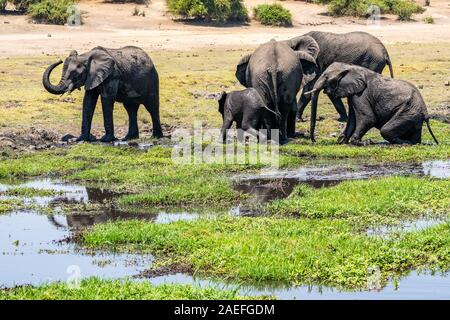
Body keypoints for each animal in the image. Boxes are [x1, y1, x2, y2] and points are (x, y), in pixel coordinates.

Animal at [308, 62, 438, 145]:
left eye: (326, 77)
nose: (314, 141)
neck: (350, 67)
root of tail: (426, 112)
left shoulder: (361, 94)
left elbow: (368, 118)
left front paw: (361, 142)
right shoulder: (353, 93)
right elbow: (352, 119)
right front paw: (341, 141)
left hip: (408, 111)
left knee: (385, 130)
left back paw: (405, 143)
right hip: (413, 113)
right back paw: (412, 142)